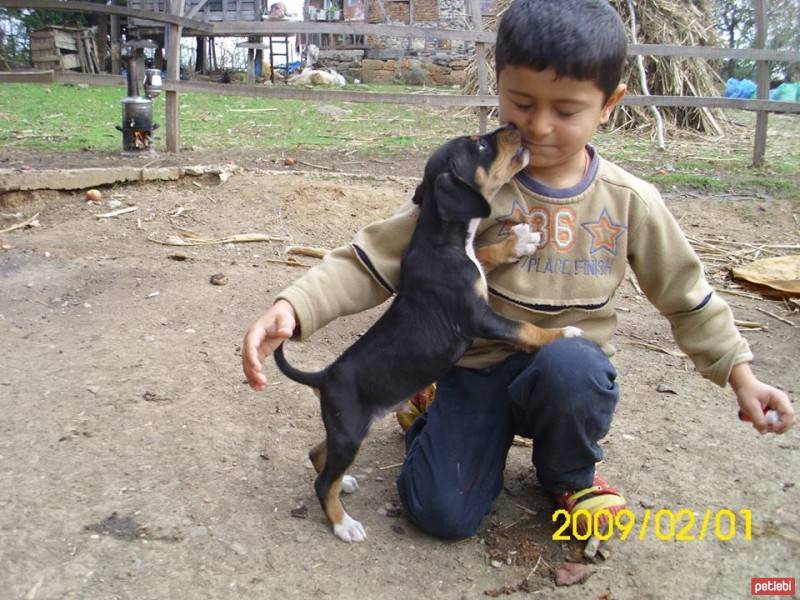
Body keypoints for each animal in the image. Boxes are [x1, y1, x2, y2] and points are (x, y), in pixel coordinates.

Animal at [276, 124, 580, 540]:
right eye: (480, 145)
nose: (515, 129)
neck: (442, 239)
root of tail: (323, 377)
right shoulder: (478, 317)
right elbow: (525, 328)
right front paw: (565, 334)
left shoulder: (476, 276)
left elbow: (486, 255)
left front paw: (519, 241)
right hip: (350, 431)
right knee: (323, 483)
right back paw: (343, 524)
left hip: (348, 430)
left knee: (317, 454)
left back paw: (346, 483)